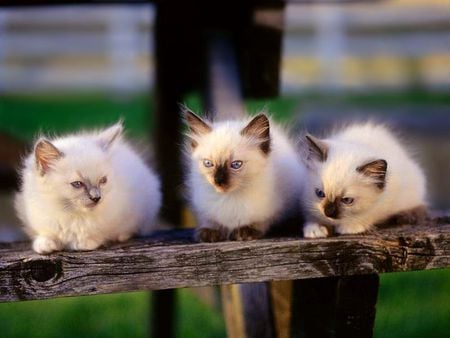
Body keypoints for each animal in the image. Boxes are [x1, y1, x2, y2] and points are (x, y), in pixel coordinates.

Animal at [15, 122, 162, 254]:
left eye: (103, 181)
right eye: (77, 184)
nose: (96, 197)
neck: (73, 216)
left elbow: (100, 233)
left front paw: (82, 243)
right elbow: (46, 234)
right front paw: (46, 245)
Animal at [183, 109, 306, 242]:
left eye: (236, 164)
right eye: (208, 163)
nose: (218, 180)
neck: (229, 198)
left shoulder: (274, 210)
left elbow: (260, 221)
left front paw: (244, 232)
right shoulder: (203, 210)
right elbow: (210, 221)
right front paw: (210, 233)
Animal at [300, 122, 428, 238]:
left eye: (347, 200)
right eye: (320, 193)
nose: (328, 212)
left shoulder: (385, 202)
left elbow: (367, 215)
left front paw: (349, 227)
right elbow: (312, 215)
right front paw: (315, 228)